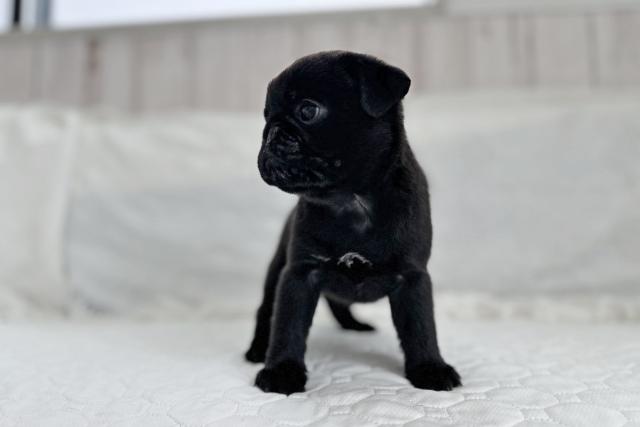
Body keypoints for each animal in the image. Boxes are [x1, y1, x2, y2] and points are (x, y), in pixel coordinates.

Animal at [245, 51, 461, 395]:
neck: (350, 200)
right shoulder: (299, 274)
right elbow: (287, 325)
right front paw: (281, 371)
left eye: (307, 110)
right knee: (267, 309)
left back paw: (354, 326)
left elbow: (421, 327)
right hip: (276, 269)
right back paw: (256, 349)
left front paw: (430, 368)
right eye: (266, 116)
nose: (271, 133)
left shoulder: (412, 277)